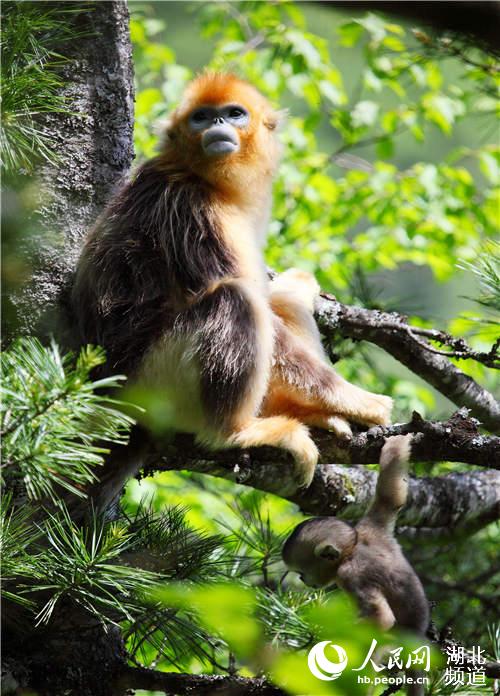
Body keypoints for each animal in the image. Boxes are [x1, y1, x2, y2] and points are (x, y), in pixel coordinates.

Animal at [72, 72, 392, 490]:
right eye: (201, 117)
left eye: (234, 113)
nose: (218, 124)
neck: (206, 181)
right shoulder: (193, 212)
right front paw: (361, 402)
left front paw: (299, 285)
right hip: (151, 383)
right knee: (235, 298)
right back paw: (236, 432)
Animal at [282, 436, 430, 636]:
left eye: (301, 572)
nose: (302, 580)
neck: (352, 550)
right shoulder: (372, 528)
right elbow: (389, 497)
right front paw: (397, 440)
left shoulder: (351, 575)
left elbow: (381, 617)